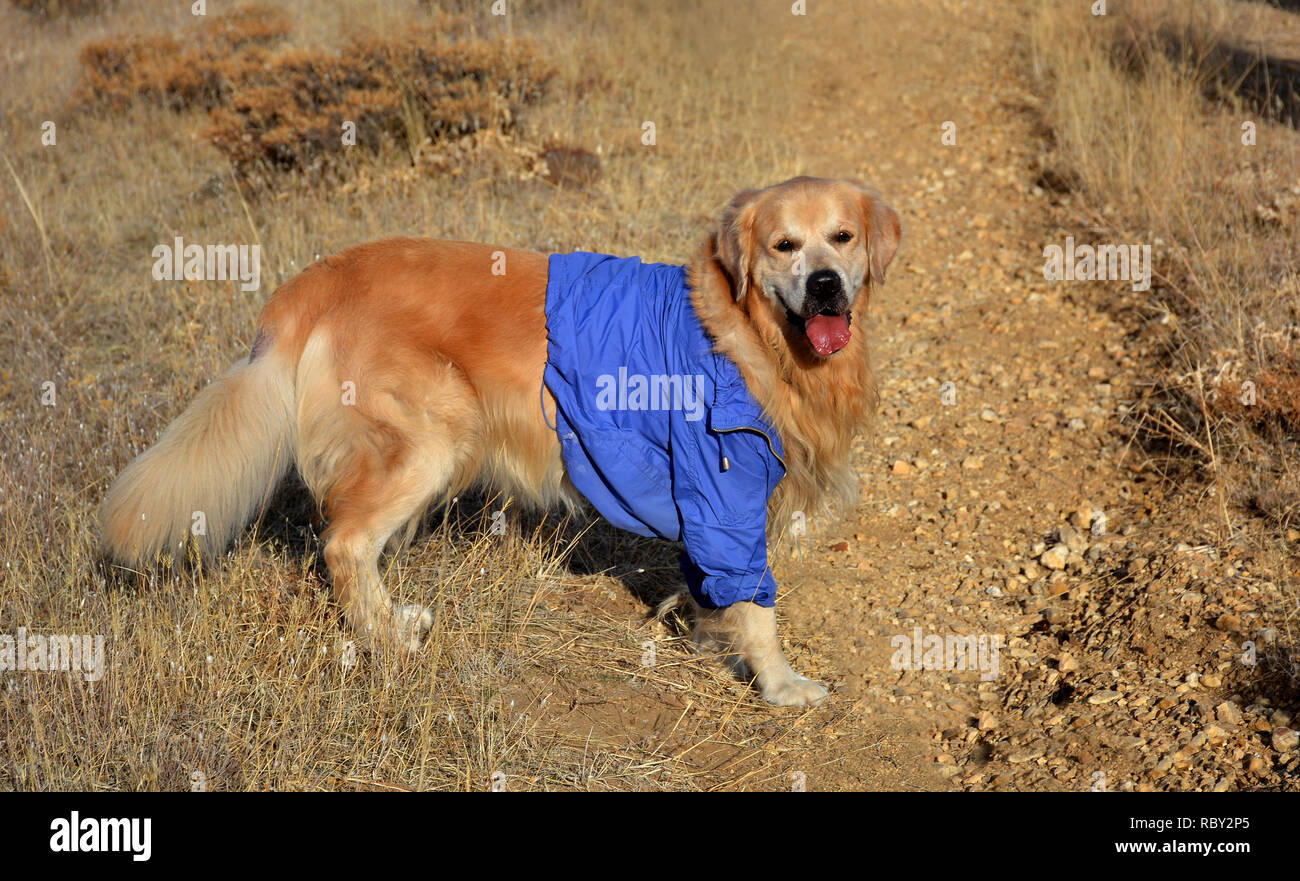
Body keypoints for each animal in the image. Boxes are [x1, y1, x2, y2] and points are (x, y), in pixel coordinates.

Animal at [101, 178, 899, 712]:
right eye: (784, 246)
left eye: (843, 236)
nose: (826, 286)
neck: (749, 334)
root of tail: (313, 283)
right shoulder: (721, 487)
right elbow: (755, 601)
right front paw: (781, 682)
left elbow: (711, 588)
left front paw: (708, 638)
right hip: (430, 440)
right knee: (345, 543)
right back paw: (388, 639)